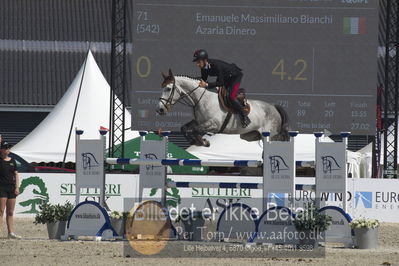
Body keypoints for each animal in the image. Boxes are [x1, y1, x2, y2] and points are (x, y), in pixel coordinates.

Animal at [157, 69, 290, 147]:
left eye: (168, 88)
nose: (160, 110)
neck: (202, 98)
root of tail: (274, 107)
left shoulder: (215, 124)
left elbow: (195, 130)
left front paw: (203, 142)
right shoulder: (198, 121)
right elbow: (184, 128)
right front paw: (195, 141)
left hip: (270, 136)